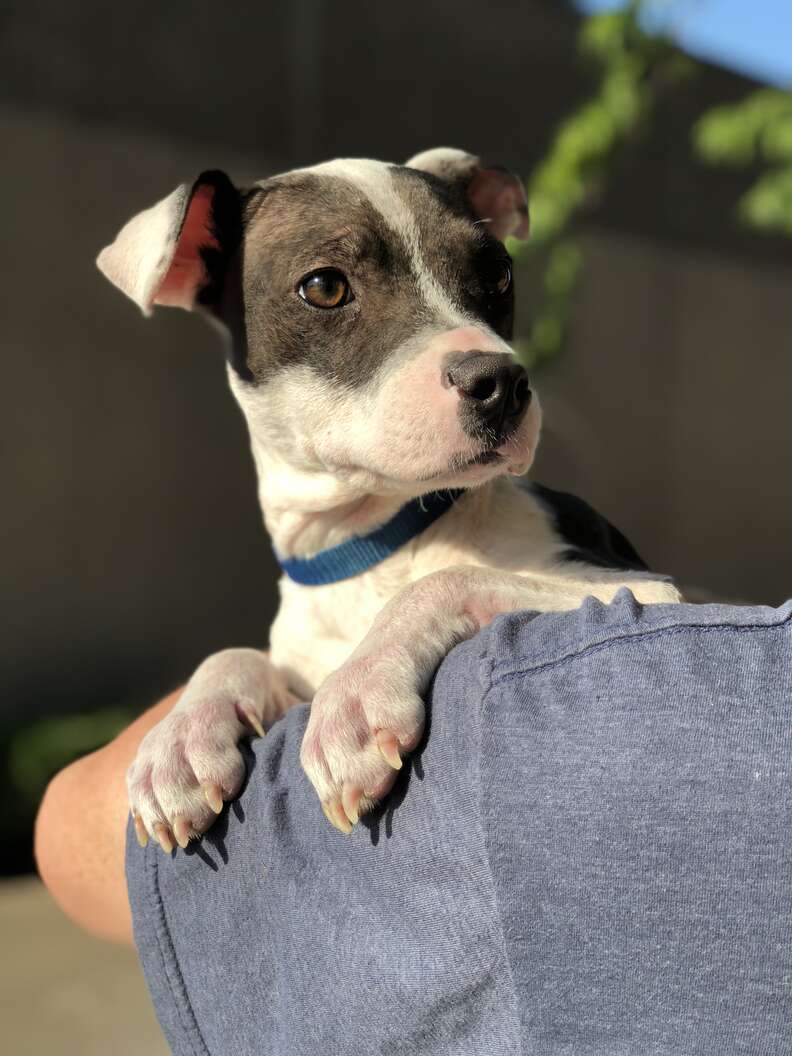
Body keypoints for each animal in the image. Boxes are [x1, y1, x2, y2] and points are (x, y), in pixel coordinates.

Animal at [99, 146, 684, 849]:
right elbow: (232, 652)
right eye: (324, 287)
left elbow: (442, 581)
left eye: (498, 274)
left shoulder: (648, 591)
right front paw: (180, 740)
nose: (502, 384)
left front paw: (355, 694)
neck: (365, 547)